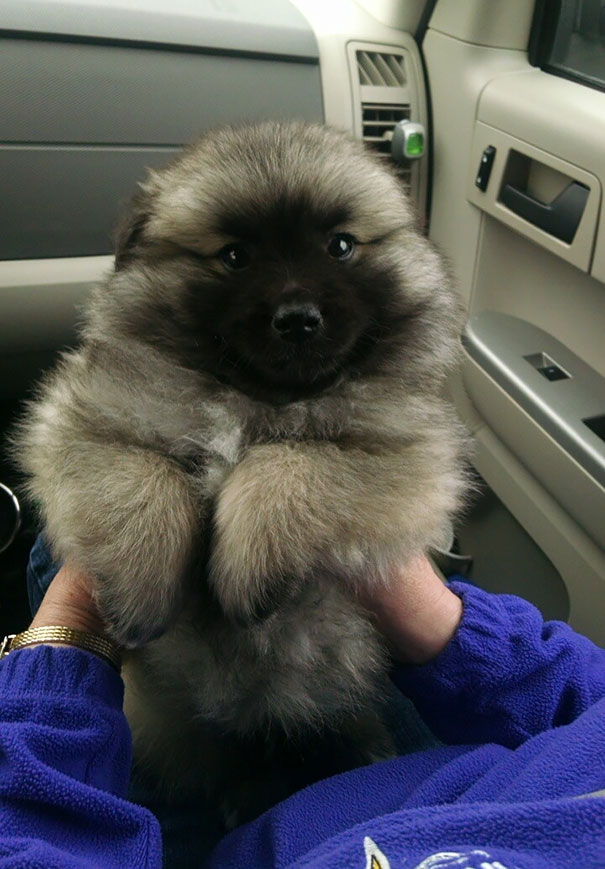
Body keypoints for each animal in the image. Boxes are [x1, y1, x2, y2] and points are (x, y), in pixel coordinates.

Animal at [15, 120, 468, 820]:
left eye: (341, 246)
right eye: (235, 257)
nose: (298, 319)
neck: (257, 397)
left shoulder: (405, 454)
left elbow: (292, 461)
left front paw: (245, 564)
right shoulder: (86, 422)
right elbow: (144, 483)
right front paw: (143, 589)